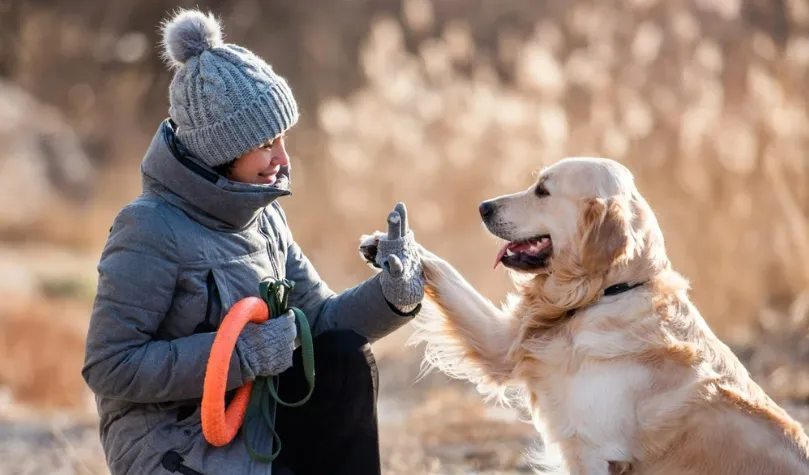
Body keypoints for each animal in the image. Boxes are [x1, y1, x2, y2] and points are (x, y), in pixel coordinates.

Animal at [360, 159, 808, 475]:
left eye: (543, 190)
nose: (483, 207)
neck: (604, 294)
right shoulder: (502, 343)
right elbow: (445, 270)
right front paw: (390, 245)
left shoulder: (596, 452)